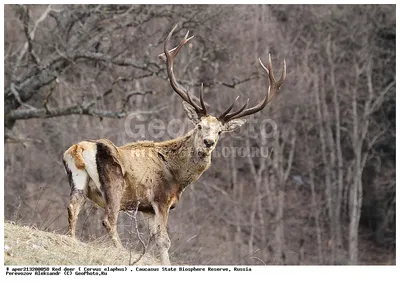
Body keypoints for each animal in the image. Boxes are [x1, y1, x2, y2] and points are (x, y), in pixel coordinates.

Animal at [62, 23, 286, 264]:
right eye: (199, 126)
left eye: (219, 131)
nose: (208, 143)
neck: (178, 177)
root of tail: (79, 149)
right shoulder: (160, 199)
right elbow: (164, 240)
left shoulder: (147, 209)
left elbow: (154, 238)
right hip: (114, 184)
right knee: (108, 220)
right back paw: (121, 252)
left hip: (79, 181)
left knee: (72, 208)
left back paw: (73, 240)